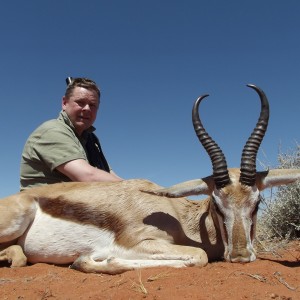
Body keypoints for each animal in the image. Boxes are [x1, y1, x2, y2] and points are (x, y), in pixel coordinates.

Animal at [0, 85, 300, 274]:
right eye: (216, 203)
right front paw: (92, 259)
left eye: (257, 203)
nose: (239, 256)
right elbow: (199, 256)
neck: (176, 215)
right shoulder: (135, 243)